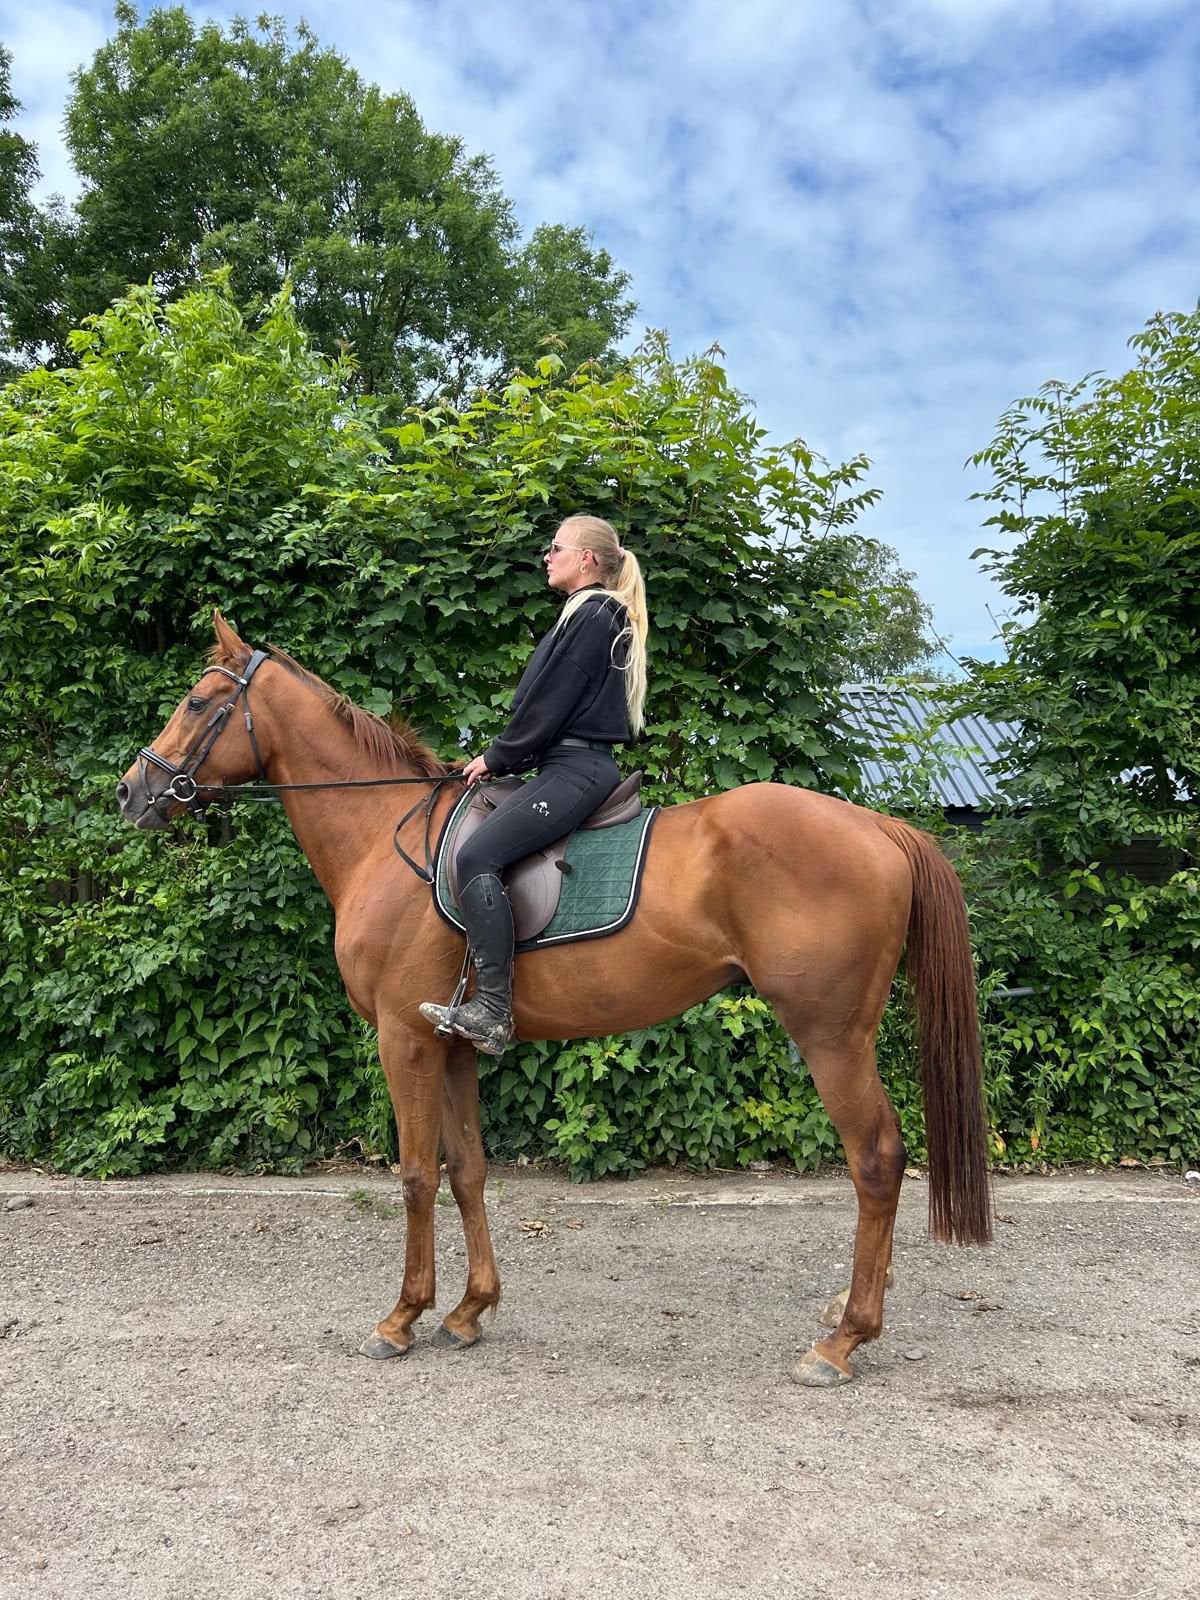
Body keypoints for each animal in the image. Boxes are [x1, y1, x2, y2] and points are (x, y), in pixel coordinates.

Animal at [116, 612, 991, 1387]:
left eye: (196, 700)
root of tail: (880, 828)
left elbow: (414, 1173)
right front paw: (469, 1310)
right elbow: (467, 1170)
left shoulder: (404, 1039)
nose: (131, 791)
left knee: (877, 1160)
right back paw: (843, 1315)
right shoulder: (453, 1043)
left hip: (830, 1035)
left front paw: (400, 1320)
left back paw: (843, 1341)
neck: (379, 836)